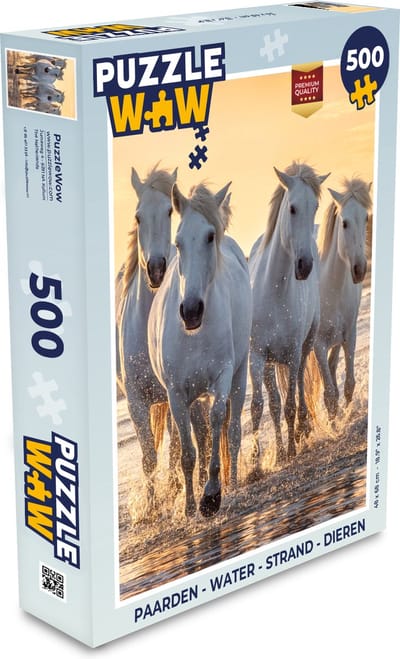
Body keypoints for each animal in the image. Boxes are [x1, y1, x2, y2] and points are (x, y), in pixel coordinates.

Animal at [148, 182, 252, 518]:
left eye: (209, 236)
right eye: (178, 242)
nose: (191, 311)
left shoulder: (222, 376)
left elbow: (219, 422)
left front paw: (212, 496)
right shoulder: (177, 394)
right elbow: (188, 452)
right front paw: (191, 506)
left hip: (240, 375)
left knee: (233, 432)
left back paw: (234, 484)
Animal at [249, 162, 330, 465]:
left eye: (315, 206)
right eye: (292, 208)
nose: (304, 265)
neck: (274, 290)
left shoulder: (293, 354)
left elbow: (291, 404)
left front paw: (293, 448)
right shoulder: (257, 356)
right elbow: (261, 406)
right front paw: (256, 463)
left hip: (304, 346)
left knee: (299, 389)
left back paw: (302, 430)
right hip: (270, 362)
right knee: (273, 401)